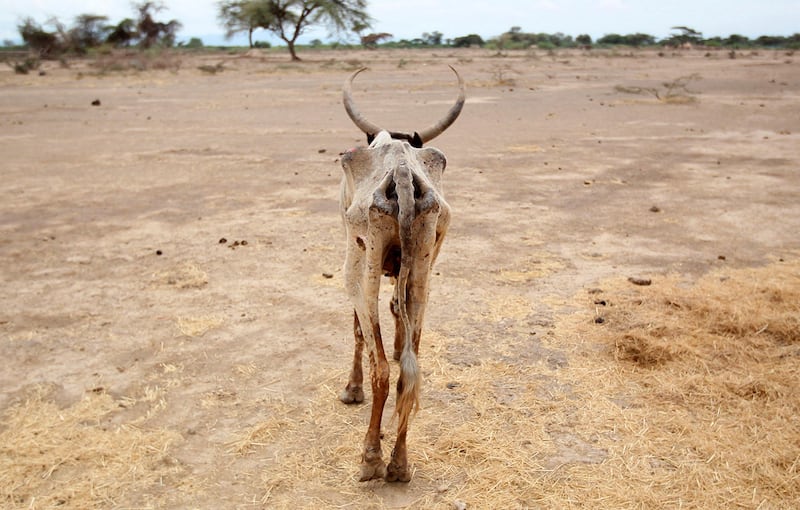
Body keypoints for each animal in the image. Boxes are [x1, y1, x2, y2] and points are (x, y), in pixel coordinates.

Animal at [336, 67, 462, 482]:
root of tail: (404, 172)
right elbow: (397, 311)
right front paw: (396, 342)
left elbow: (359, 331)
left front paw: (351, 389)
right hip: (424, 265)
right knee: (410, 370)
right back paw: (400, 464)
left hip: (363, 266)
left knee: (381, 369)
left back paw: (372, 459)